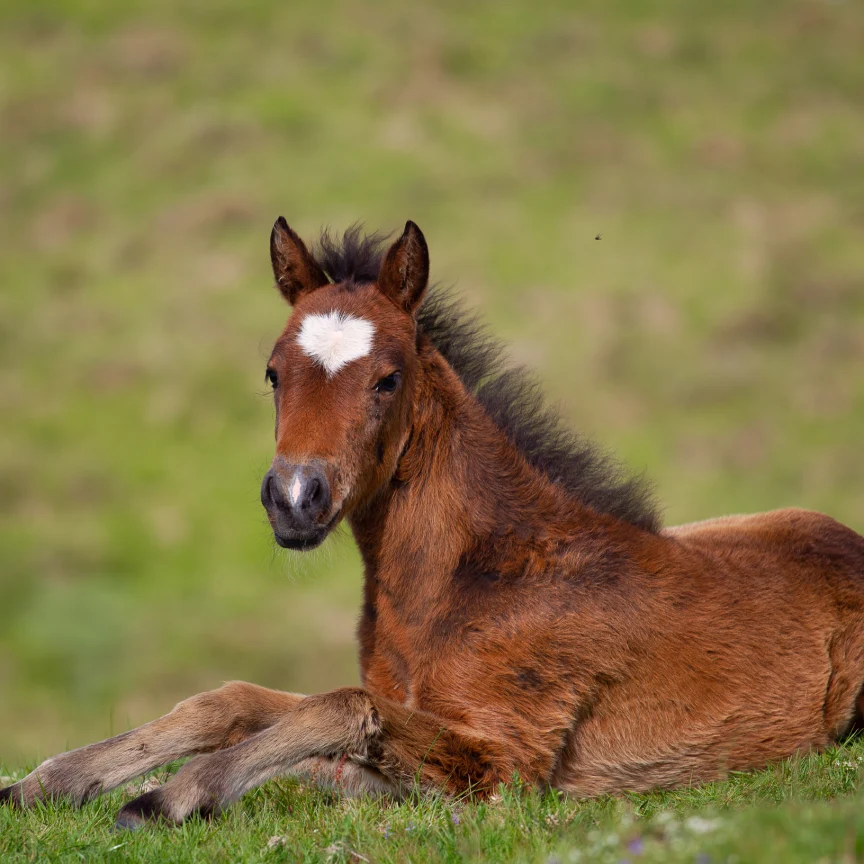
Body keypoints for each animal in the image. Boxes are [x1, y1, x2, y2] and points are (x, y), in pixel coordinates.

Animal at [1, 218, 864, 832]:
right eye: (274, 373)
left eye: (387, 379)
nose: (294, 498)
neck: (480, 577)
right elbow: (239, 702)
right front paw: (52, 780)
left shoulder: (506, 762)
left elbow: (343, 706)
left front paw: (173, 796)